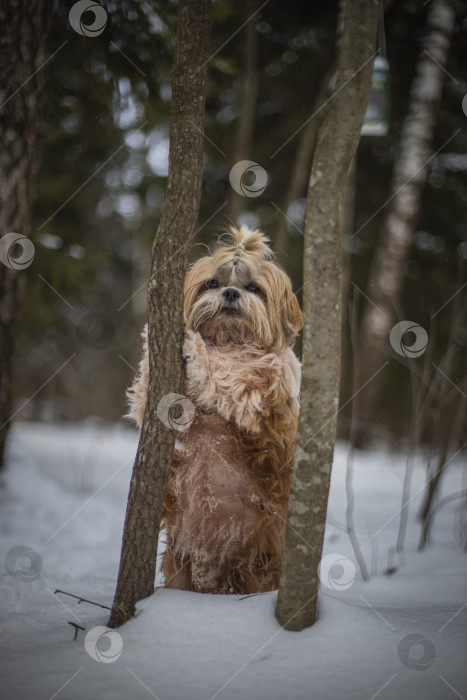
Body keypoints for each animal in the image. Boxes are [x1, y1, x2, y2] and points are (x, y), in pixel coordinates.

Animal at [128, 226, 304, 596]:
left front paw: (195, 348)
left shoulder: (259, 392)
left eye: (254, 288)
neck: (228, 340)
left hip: (260, 568)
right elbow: (148, 396)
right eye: (212, 283)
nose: (232, 292)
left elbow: (226, 373)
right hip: (181, 568)